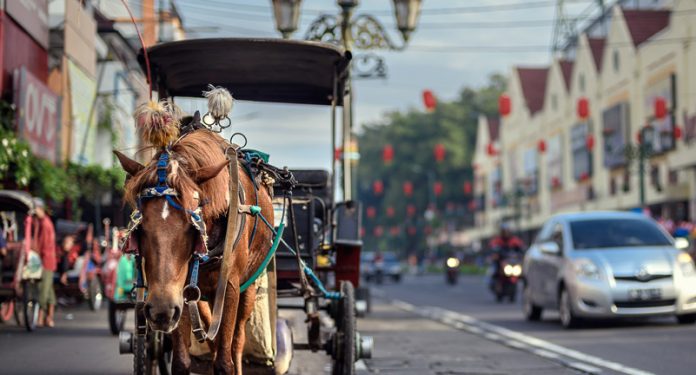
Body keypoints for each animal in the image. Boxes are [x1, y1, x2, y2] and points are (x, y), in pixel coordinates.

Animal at [115, 129, 274, 374]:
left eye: (192, 227)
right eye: (140, 228)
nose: (160, 311)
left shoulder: (230, 286)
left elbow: (225, 361)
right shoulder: (179, 294)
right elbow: (182, 360)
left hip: (249, 284)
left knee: (237, 340)